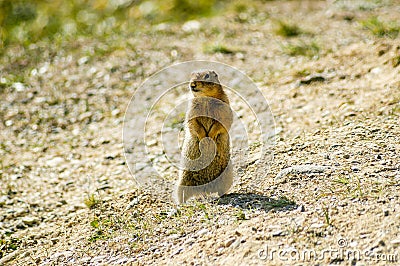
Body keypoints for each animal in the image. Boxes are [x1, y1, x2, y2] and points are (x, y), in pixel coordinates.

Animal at [175, 69, 234, 203]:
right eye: (191, 75)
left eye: (207, 76)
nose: (192, 84)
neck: (206, 98)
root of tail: (205, 189)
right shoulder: (192, 108)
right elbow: (194, 123)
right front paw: (204, 139)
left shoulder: (224, 105)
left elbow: (221, 122)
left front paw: (210, 137)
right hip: (182, 181)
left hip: (228, 174)